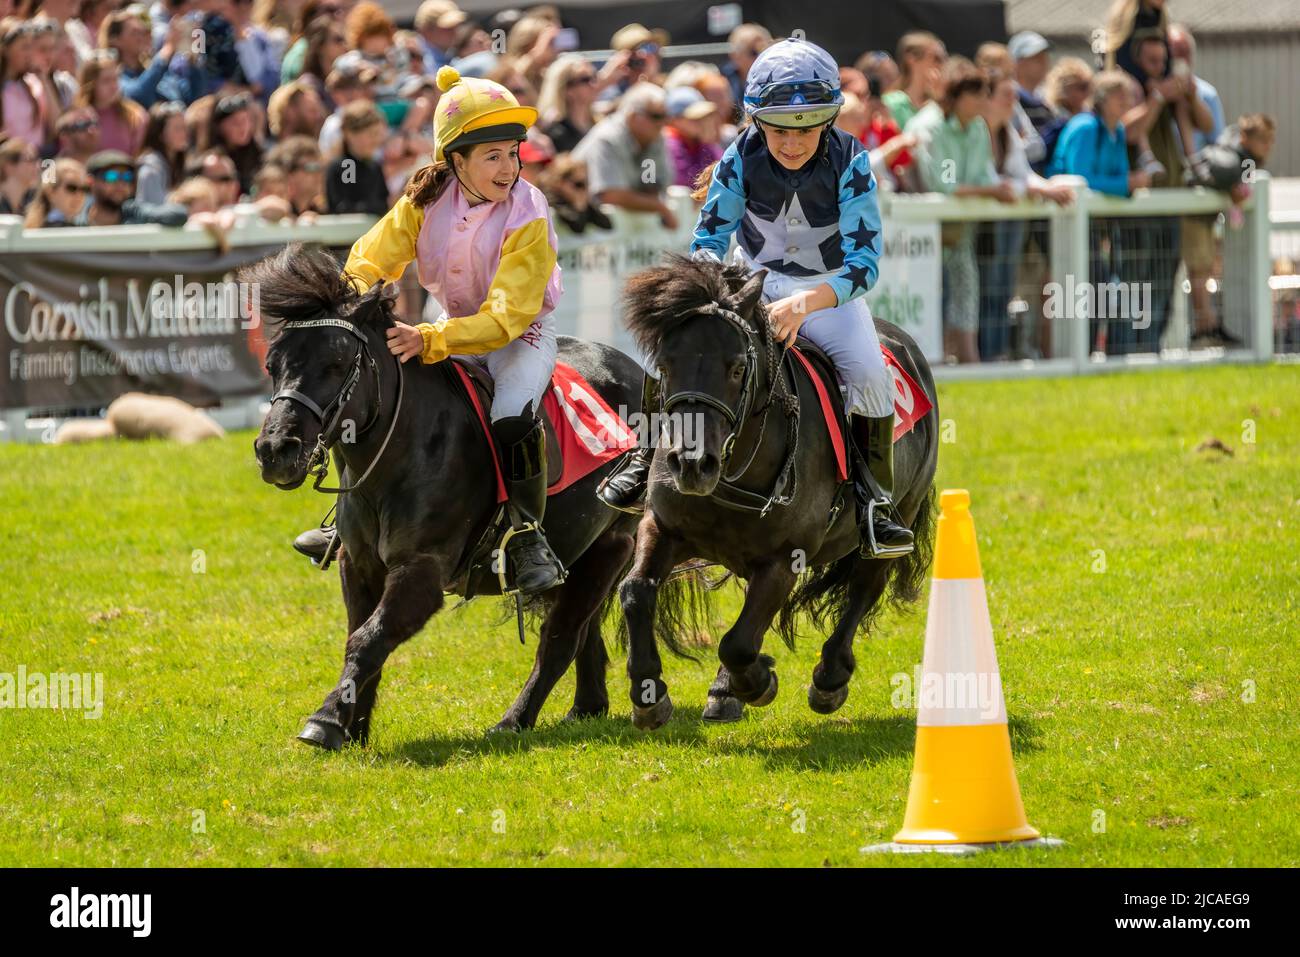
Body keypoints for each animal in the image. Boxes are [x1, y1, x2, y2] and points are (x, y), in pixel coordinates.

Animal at [244, 244, 644, 748]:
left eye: (336, 362)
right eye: (272, 365)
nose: (276, 449)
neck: (404, 453)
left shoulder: (422, 571)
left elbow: (369, 639)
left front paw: (327, 721)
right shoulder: (359, 565)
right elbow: (362, 636)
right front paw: (355, 726)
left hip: (612, 544)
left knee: (561, 639)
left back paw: (513, 721)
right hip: (577, 550)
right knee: (582, 630)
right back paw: (585, 707)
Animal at [616, 254, 935, 722]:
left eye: (736, 368)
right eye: (665, 368)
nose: (691, 465)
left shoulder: (784, 559)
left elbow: (737, 643)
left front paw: (758, 682)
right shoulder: (663, 526)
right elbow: (636, 592)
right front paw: (649, 694)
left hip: (898, 518)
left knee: (864, 586)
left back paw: (828, 678)